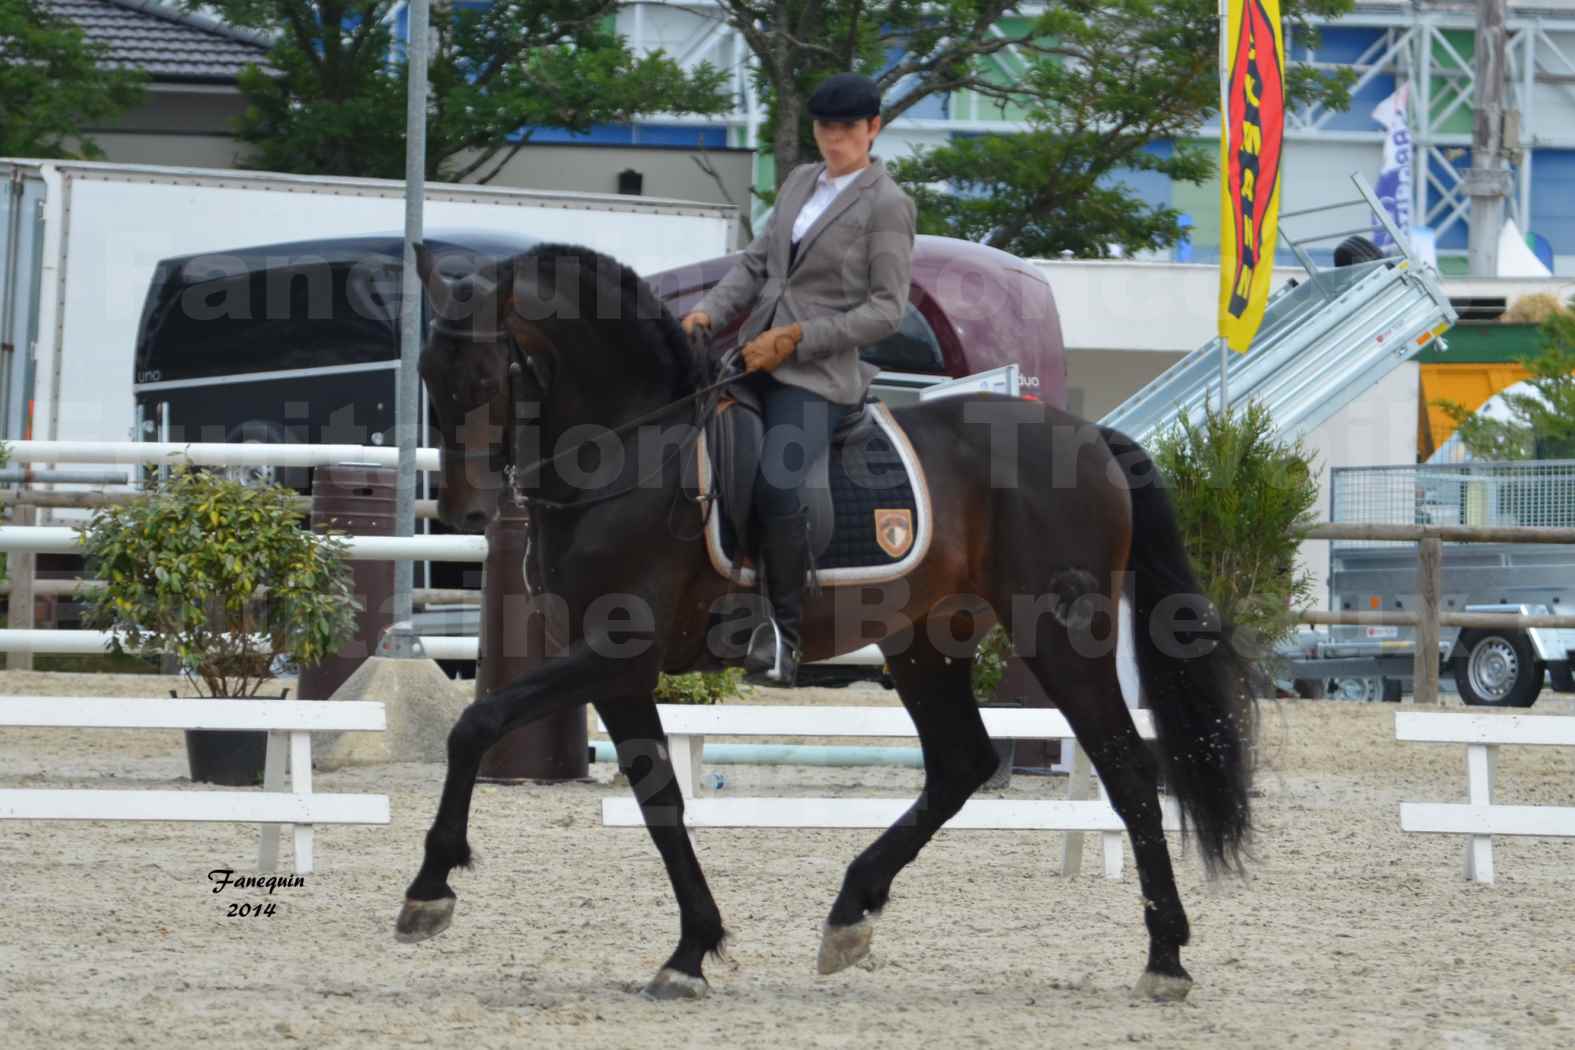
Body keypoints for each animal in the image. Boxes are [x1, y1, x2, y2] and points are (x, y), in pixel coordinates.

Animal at [396, 242, 1253, 1007]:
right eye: (427, 376)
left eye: (484, 376)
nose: (463, 510)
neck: (630, 445)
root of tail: (1088, 435)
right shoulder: (618, 669)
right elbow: (659, 797)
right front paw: (690, 951)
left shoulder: (613, 648)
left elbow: (476, 723)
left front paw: (430, 890)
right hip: (925, 641)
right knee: (962, 763)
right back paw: (849, 914)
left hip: (1060, 637)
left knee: (1127, 771)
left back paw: (1165, 959)